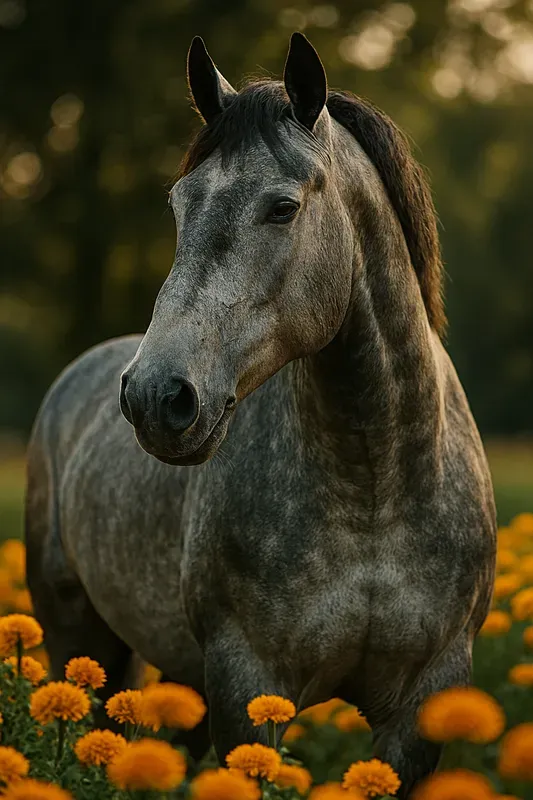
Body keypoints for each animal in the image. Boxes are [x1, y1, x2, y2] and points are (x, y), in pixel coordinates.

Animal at [25, 33, 496, 796]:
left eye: (281, 208)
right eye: (178, 204)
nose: (155, 397)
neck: (375, 484)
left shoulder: (424, 701)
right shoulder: (247, 686)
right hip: (77, 636)